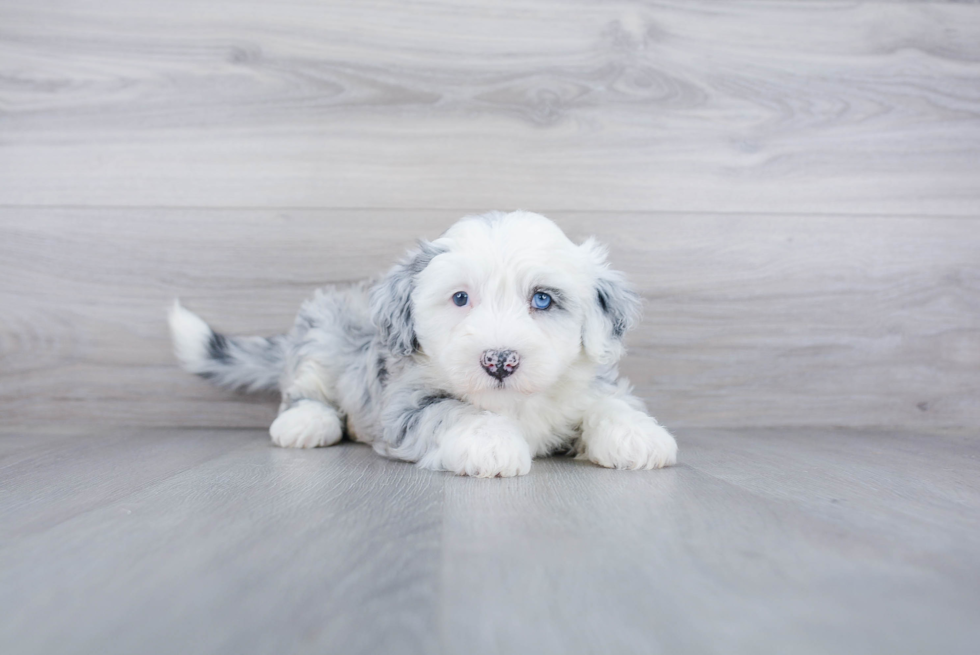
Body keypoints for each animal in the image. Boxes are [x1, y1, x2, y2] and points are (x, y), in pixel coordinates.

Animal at [168, 210, 676, 476]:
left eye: (543, 299)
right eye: (460, 298)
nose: (500, 361)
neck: (513, 404)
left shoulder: (589, 383)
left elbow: (610, 402)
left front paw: (638, 436)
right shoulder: (405, 403)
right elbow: (451, 411)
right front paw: (491, 444)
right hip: (320, 336)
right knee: (305, 390)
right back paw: (307, 422)